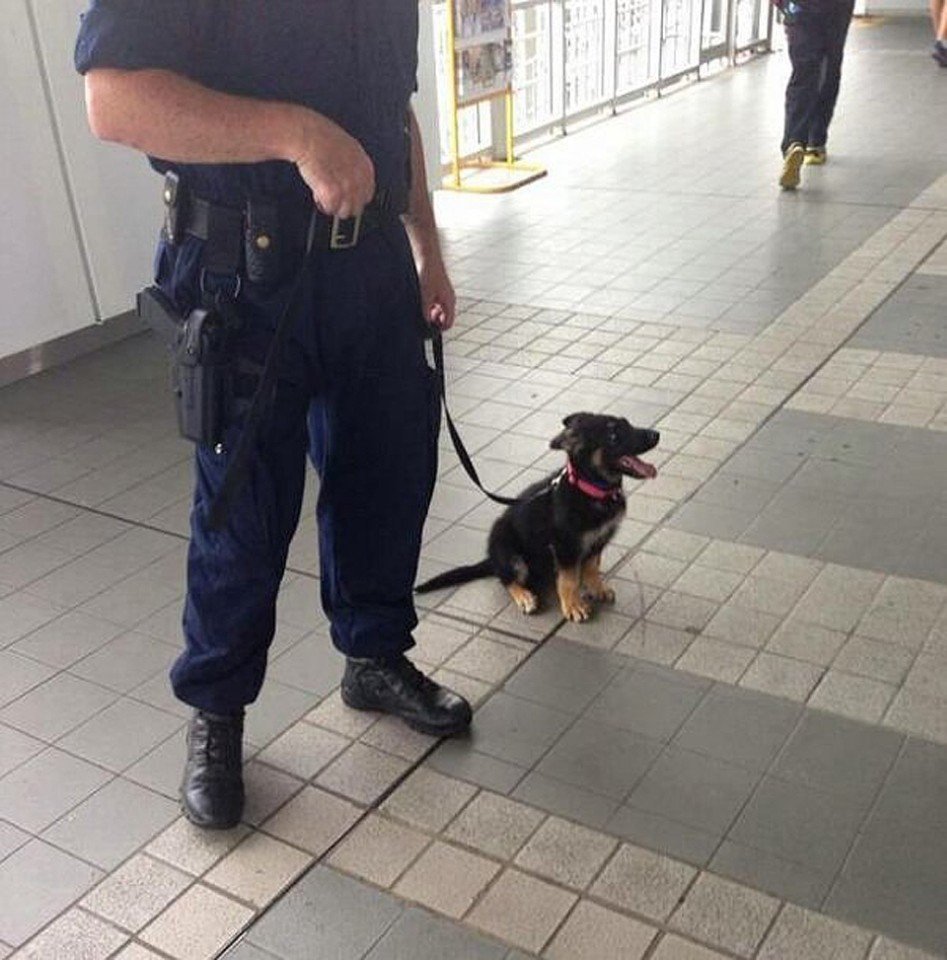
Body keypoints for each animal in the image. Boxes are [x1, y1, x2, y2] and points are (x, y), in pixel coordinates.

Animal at [414, 412, 660, 624]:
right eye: (613, 435)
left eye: (628, 424)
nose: (656, 435)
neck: (592, 490)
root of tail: (491, 558)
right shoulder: (565, 547)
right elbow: (568, 580)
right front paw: (572, 606)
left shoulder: (598, 540)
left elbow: (591, 567)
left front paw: (596, 588)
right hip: (510, 553)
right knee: (506, 579)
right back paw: (524, 596)